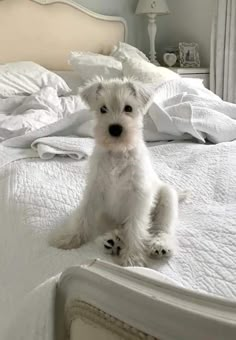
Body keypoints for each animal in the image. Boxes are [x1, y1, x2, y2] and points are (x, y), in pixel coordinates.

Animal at [50, 78, 179, 266]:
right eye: (103, 108)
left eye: (128, 108)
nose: (115, 129)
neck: (118, 153)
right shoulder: (94, 189)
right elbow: (83, 216)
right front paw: (69, 238)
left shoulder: (139, 195)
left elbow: (135, 226)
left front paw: (132, 257)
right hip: (105, 216)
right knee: (116, 228)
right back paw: (113, 240)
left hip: (167, 198)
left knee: (162, 228)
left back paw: (160, 244)